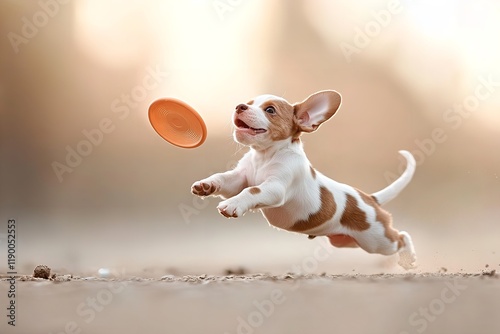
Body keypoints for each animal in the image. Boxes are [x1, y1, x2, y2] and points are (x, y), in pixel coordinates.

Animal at [191, 90, 418, 268]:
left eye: (270, 110)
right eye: (249, 102)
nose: (239, 106)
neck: (265, 156)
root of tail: (369, 198)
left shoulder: (276, 188)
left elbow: (252, 190)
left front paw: (232, 205)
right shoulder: (239, 178)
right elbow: (224, 179)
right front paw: (206, 186)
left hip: (376, 240)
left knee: (401, 236)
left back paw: (409, 259)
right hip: (349, 241)